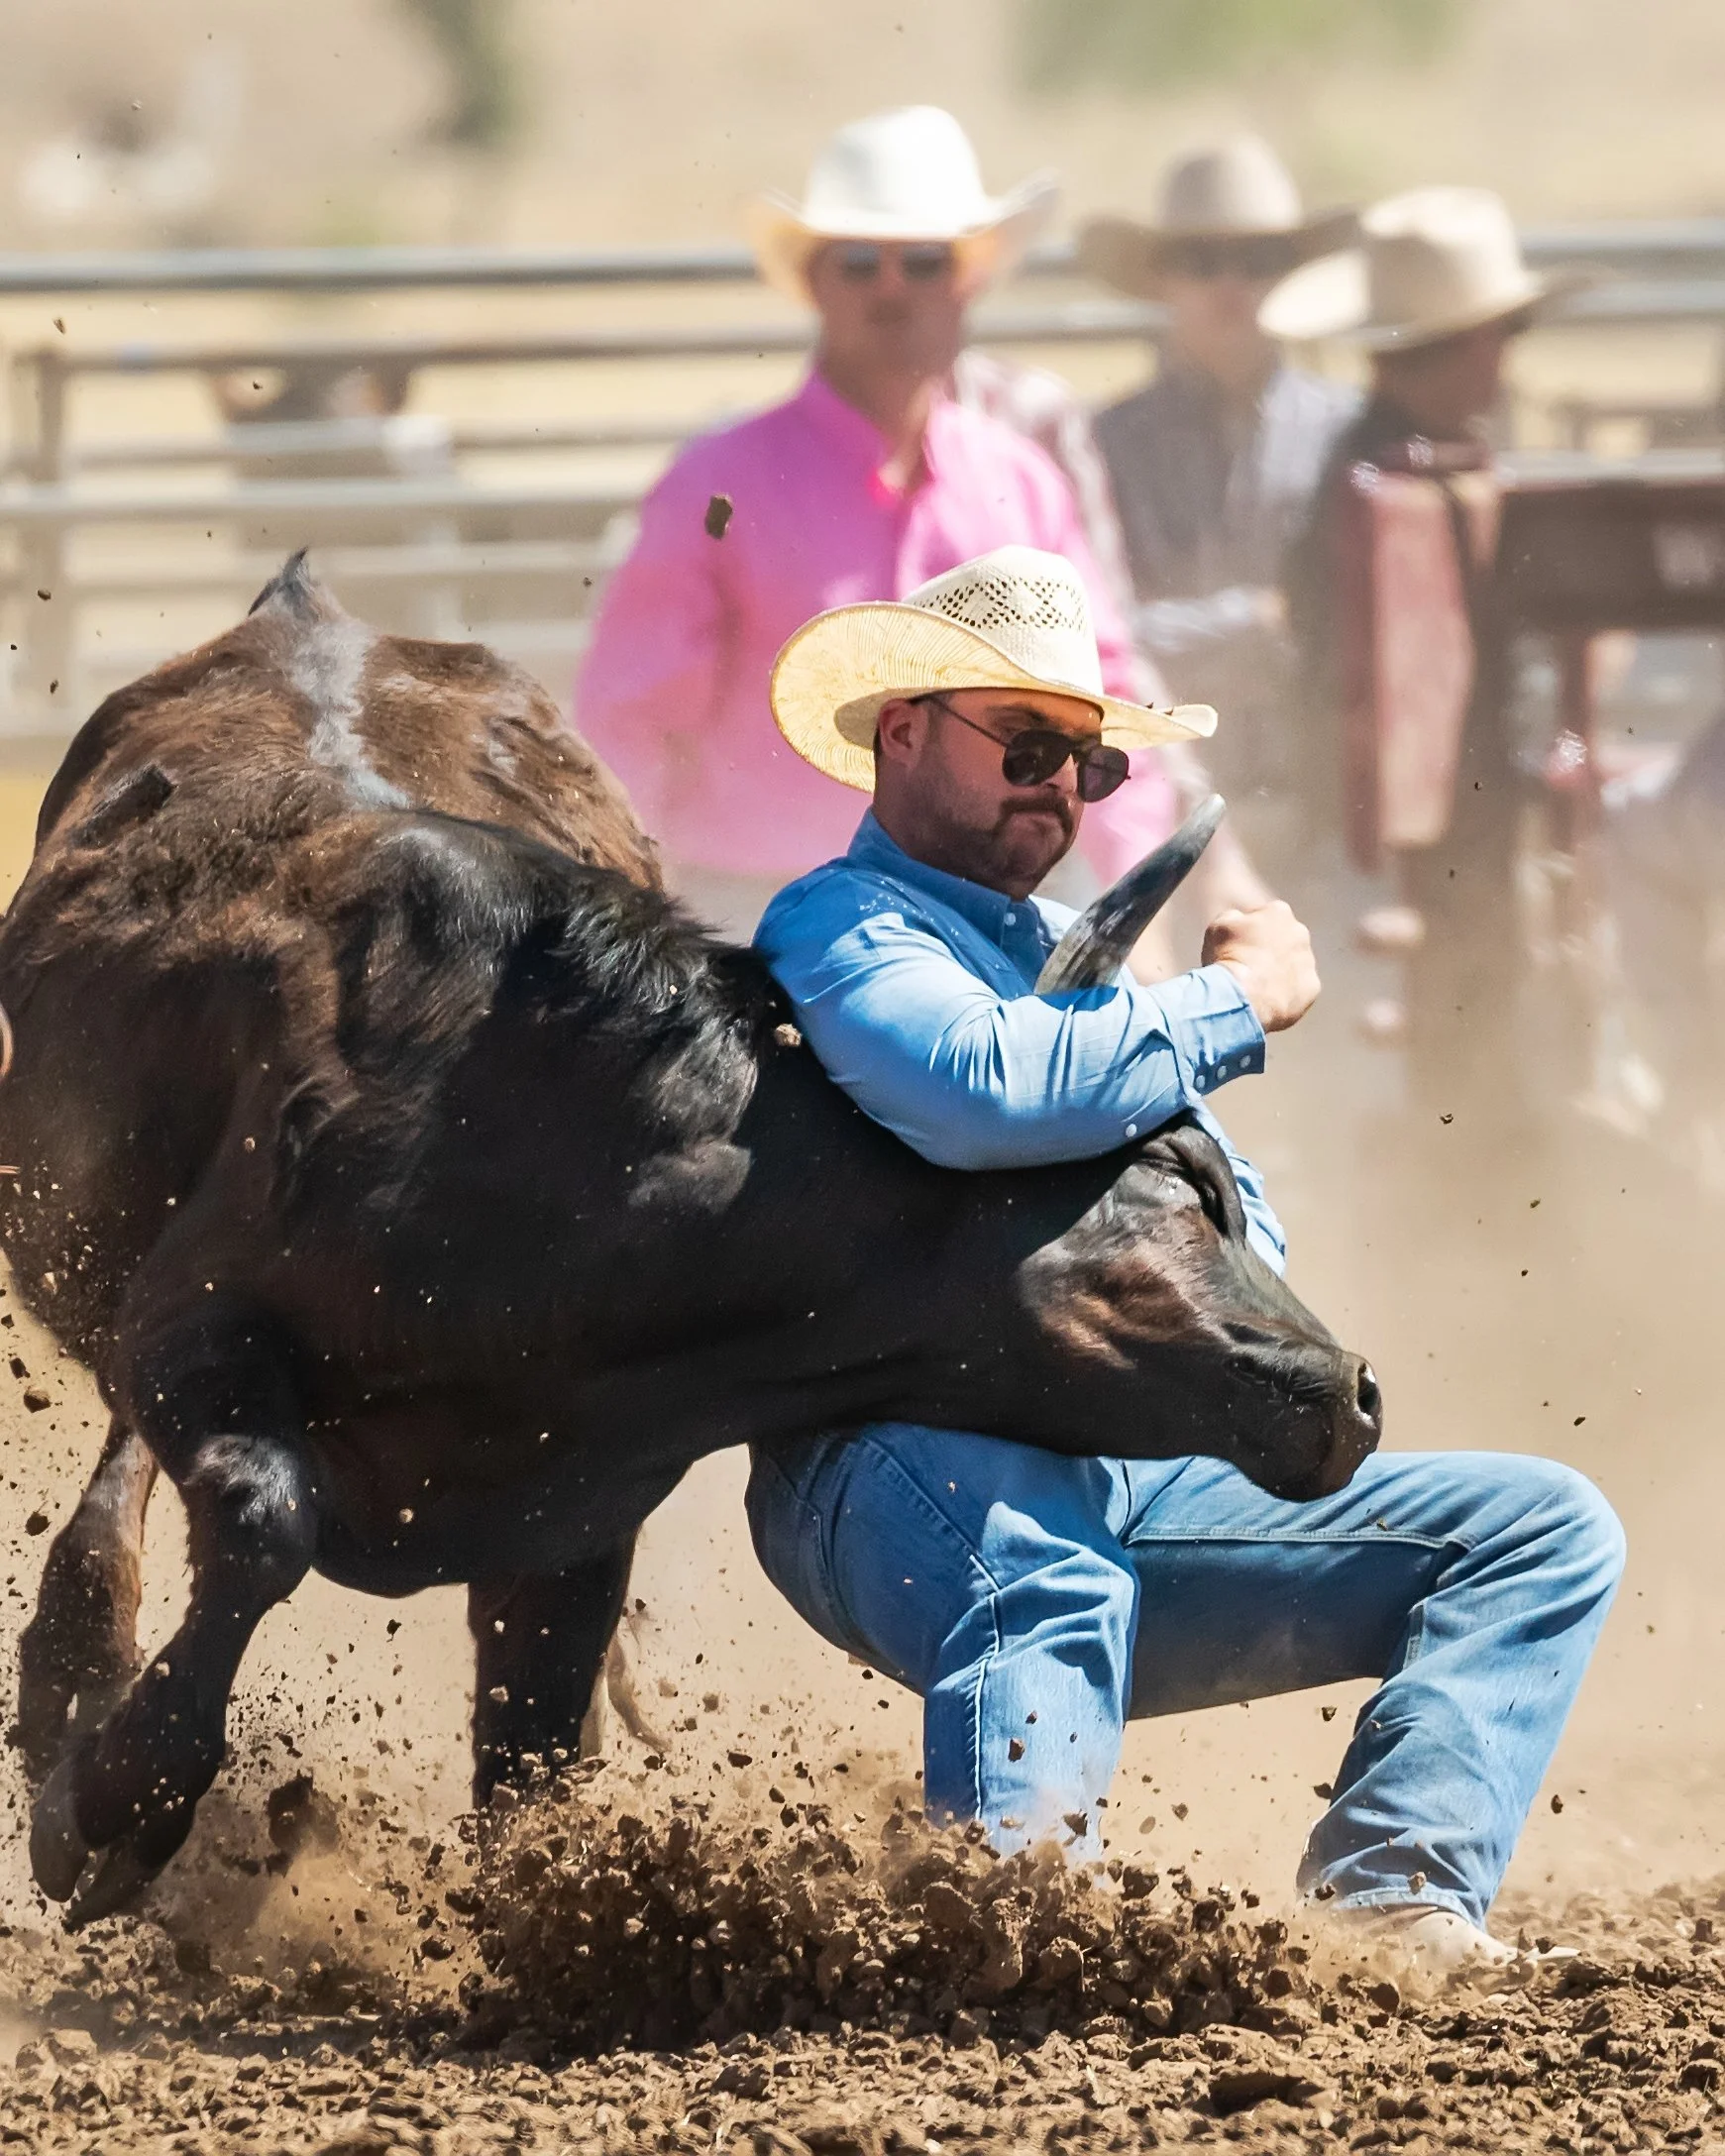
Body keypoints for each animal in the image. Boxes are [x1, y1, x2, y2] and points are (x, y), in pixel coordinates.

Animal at [0, 556, 1381, 1927]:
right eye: (1190, 1185)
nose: (1354, 1387)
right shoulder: (193, 1327)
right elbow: (260, 1511)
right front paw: (109, 1807)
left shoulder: (573, 1521)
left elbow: (530, 1761)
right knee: (129, 1476)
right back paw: (73, 1673)